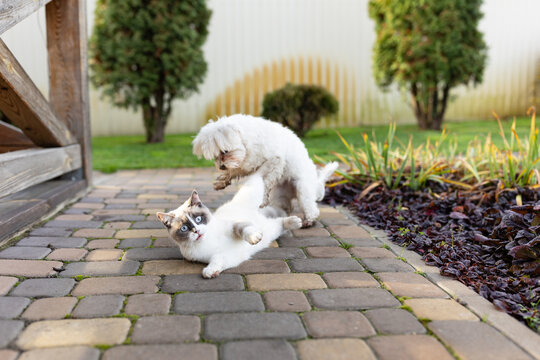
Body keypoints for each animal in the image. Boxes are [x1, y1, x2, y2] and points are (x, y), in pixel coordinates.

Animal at [156, 173, 302, 280]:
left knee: (278, 220)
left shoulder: (233, 226)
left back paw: (296, 221)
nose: (196, 231)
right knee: (277, 223)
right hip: (271, 231)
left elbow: (243, 229)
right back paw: (295, 222)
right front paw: (210, 271)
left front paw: (254, 237)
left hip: (267, 228)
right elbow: (217, 260)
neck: (208, 241)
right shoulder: (227, 256)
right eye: (184, 228)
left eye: (198, 219)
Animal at [192, 114, 338, 226]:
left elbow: (264, 178)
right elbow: (235, 171)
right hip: (279, 195)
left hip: (303, 189)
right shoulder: (245, 164)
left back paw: (309, 220)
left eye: (225, 151)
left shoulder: (274, 161)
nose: (221, 167)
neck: (247, 140)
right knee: (287, 207)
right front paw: (222, 181)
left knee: (310, 207)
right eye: (215, 156)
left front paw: (261, 197)